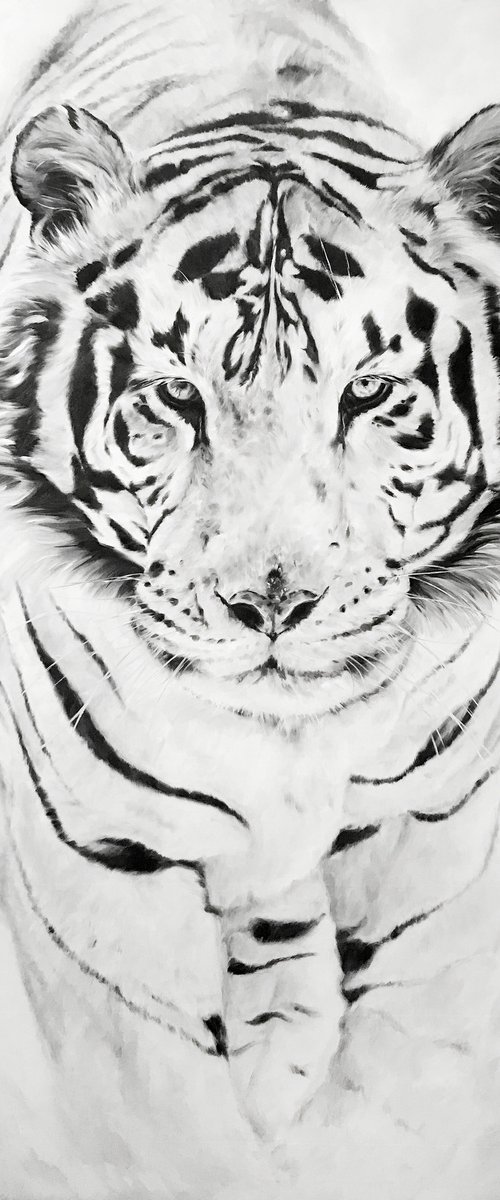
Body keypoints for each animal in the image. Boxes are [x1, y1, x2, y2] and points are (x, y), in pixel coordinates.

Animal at [2, 0, 500, 1196]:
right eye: (174, 398)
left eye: (370, 392)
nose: (273, 605)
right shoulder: (100, 869)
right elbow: (144, 1095)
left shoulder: (433, 834)